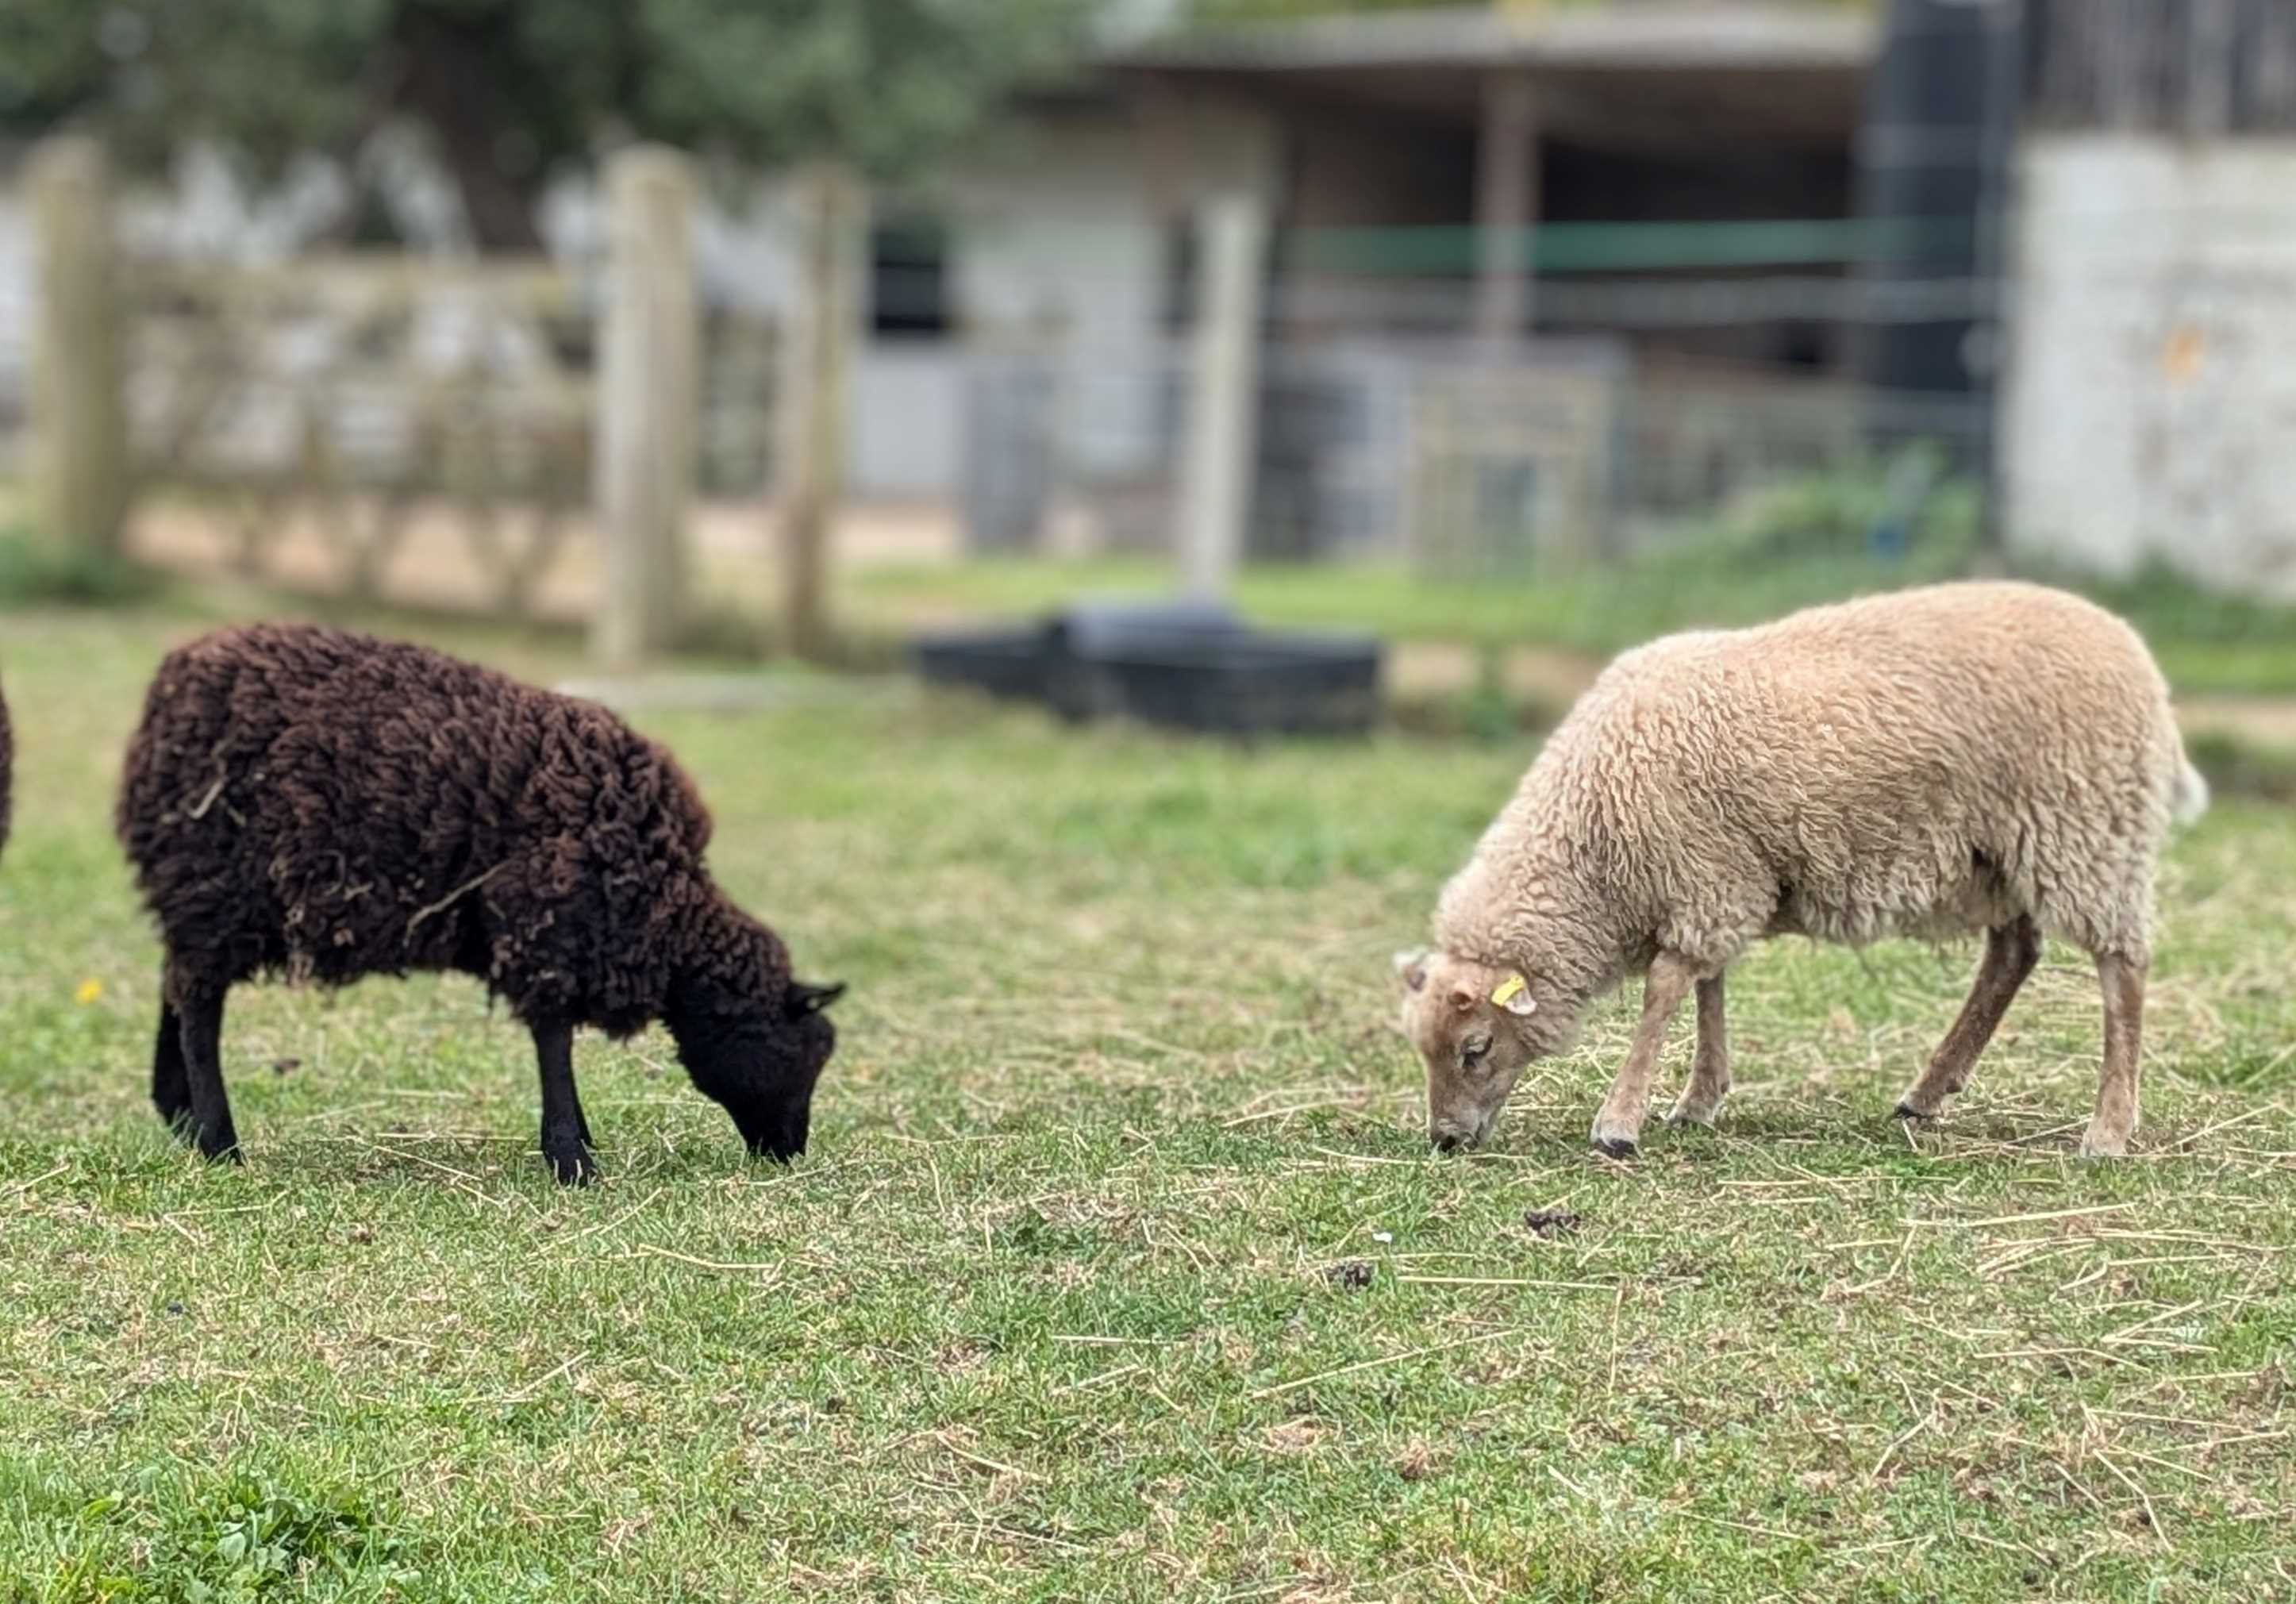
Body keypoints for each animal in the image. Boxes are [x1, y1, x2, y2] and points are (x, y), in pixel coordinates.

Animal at [113, 619, 844, 1183]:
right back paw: (218, 1141)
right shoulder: (547, 926)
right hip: (215, 884)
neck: (670, 919)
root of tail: (172, 678)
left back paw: (178, 1111)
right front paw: (571, 1158)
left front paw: (577, 1143)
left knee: (178, 985)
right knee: (199, 1007)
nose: (789, 1152)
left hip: (200, 896)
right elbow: (554, 1040)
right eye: (804, 1053)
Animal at [1395, 583, 2204, 1160]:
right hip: (1999, 855)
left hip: (2085, 828)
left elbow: (1665, 990)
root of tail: (2137, 661)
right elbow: (1707, 986)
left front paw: (1619, 1122)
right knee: (2013, 954)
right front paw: (1698, 1098)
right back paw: (1926, 1091)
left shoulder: (1702, 876)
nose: (1444, 1140)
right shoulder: (1717, 877)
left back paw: (2107, 1129)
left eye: (1474, 1048)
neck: (1589, 842)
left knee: (2121, 969)